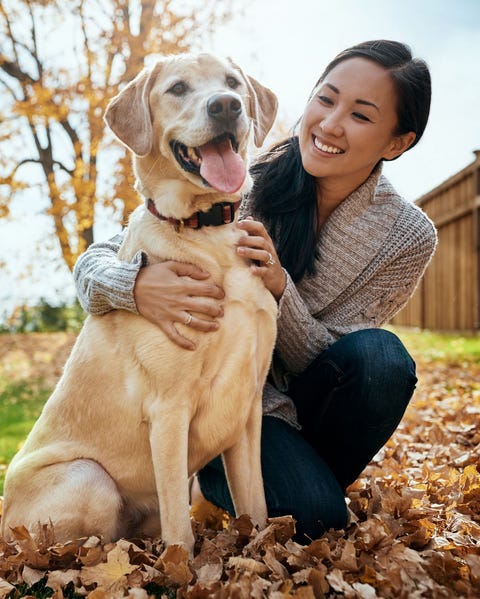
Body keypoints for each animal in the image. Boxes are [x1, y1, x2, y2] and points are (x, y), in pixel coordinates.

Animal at [0, 54, 278, 556]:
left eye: (232, 83)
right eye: (178, 88)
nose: (226, 105)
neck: (208, 230)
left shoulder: (247, 409)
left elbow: (257, 506)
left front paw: (267, 552)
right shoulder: (169, 409)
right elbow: (179, 530)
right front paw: (182, 566)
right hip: (90, 479)